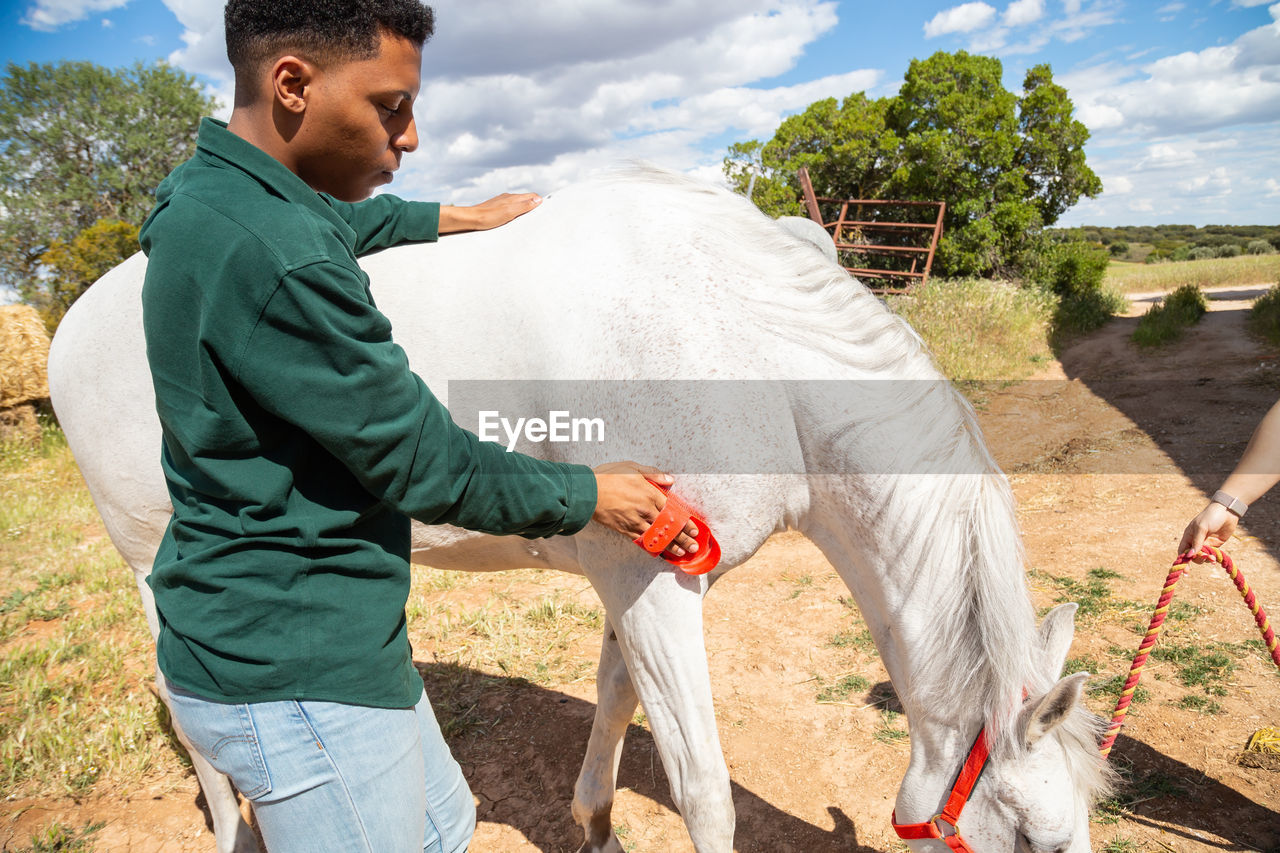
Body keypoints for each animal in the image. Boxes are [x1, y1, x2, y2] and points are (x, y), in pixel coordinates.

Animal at [49, 166, 1111, 850]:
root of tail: (71, 323)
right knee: (196, 717)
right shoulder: (657, 589)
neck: (747, 342)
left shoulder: (635, 581)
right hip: (156, 570)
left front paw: (594, 821)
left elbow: (614, 698)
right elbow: (703, 791)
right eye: (1034, 838)